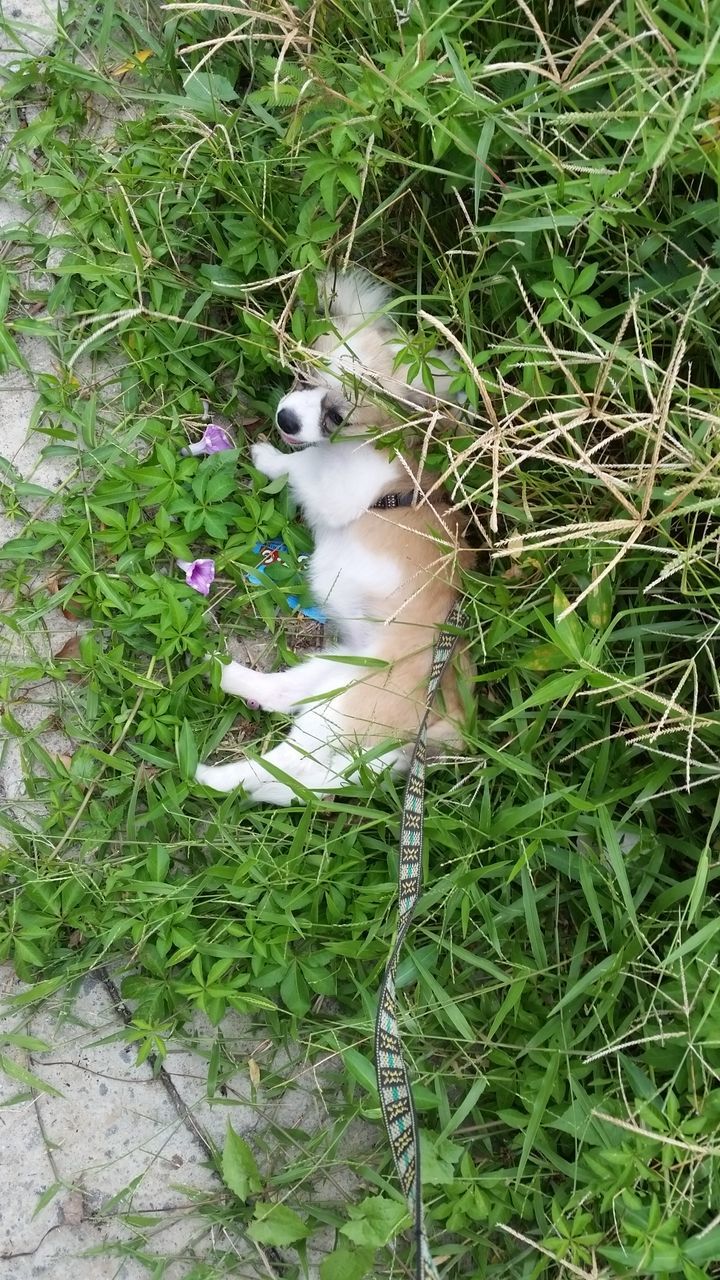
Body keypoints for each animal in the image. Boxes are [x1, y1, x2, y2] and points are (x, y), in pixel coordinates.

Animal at [193, 271, 471, 803]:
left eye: (337, 417)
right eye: (303, 374)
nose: (285, 420)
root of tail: (447, 722)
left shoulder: (343, 488)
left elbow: (301, 465)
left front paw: (264, 456)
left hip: (345, 709)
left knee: (288, 768)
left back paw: (214, 779)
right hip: (335, 674)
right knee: (284, 701)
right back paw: (226, 674)